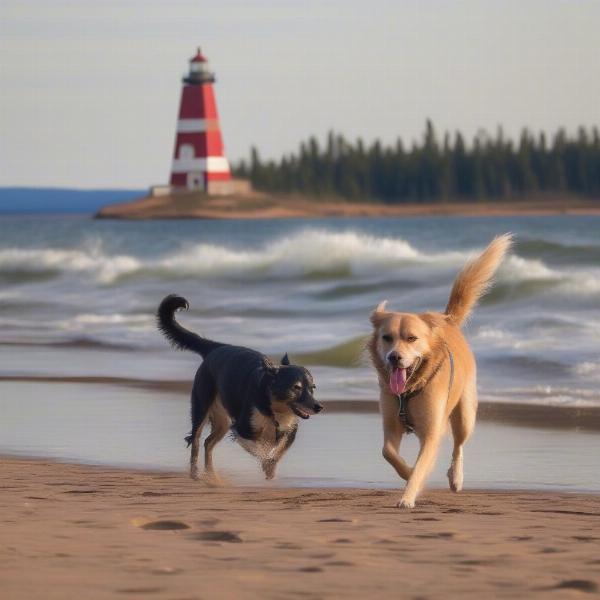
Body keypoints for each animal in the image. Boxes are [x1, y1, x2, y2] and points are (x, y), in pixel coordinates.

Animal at [157, 296, 322, 482]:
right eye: (296, 387)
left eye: (313, 388)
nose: (319, 407)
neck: (272, 405)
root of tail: (216, 348)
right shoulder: (241, 429)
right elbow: (260, 449)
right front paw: (266, 463)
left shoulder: (289, 432)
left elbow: (278, 450)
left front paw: (270, 469)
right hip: (202, 406)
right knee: (196, 441)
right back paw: (196, 475)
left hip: (222, 420)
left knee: (208, 443)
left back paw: (212, 475)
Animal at [368, 233, 512, 506]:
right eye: (386, 338)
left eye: (411, 338)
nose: (394, 358)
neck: (409, 390)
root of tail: (449, 321)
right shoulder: (391, 422)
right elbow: (387, 452)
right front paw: (408, 472)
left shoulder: (432, 432)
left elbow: (423, 464)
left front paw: (408, 496)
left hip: (465, 414)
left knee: (459, 445)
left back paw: (456, 477)